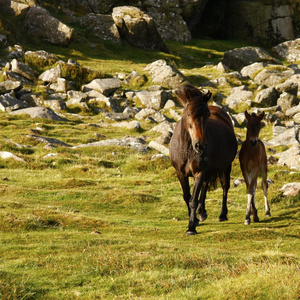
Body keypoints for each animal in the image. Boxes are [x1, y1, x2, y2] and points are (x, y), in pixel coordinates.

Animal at [170, 85, 238, 237]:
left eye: (207, 115)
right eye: (189, 114)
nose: (200, 145)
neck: (187, 149)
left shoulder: (199, 172)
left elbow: (193, 200)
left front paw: (191, 228)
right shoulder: (181, 174)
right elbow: (187, 196)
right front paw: (195, 220)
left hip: (226, 167)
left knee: (225, 186)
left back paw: (222, 215)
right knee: (206, 185)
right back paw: (201, 213)